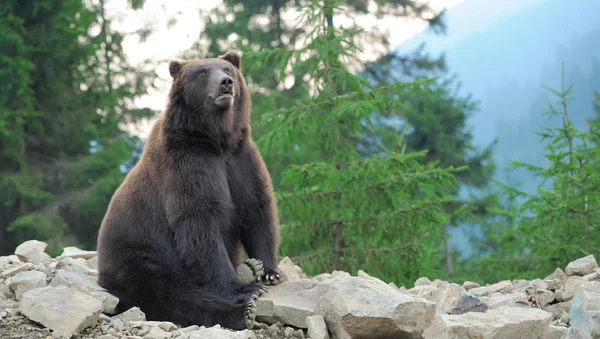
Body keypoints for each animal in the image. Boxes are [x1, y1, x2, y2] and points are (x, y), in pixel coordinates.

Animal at [98, 51, 284, 332]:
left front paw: (269, 271)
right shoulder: (186, 166)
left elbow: (256, 207)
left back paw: (251, 269)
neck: (215, 141)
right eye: (203, 72)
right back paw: (243, 311)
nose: (226, 83)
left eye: (227, 68)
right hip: (141, 257)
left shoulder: (240, 160)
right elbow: (200, 225)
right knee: (173, 293)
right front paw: (243, 289)